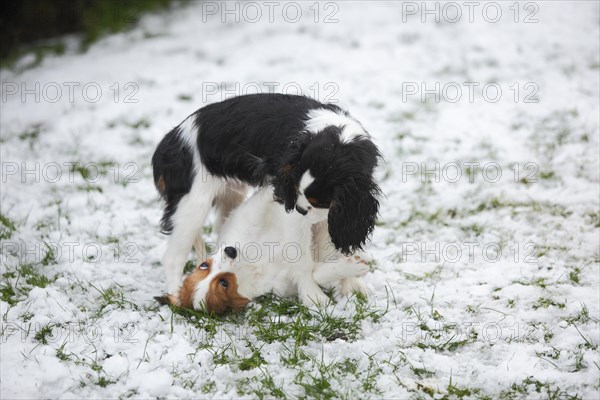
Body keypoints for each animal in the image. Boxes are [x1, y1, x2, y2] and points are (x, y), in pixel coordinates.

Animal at [154, 93, 380, 294]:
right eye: (296, 192)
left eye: (321, 201)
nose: (300, 209)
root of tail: (168, 142)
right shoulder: (291, 209)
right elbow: (303, 261)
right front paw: (313, 296)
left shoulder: (336, 213)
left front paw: (351, 285)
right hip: (192, 206)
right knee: (172, 257)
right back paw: (178, 296)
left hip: (231, 193)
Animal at [161, 186, 370, 314]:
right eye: (223, 283)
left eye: (204, 265)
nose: (230, 251)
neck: (251, 264)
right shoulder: (282, 283)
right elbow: (311, 272)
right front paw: (354, 267)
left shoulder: (247, 217)